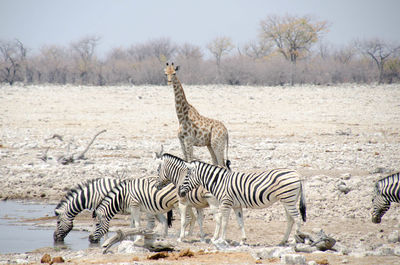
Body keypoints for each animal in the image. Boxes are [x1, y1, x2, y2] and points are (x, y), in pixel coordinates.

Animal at [177, 159, 306, 245]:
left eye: (186, 176)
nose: (179, 193)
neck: (219, 182)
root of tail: (297, 174)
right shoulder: (236, 206)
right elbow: (240, 223)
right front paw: (243, 240)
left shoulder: (226, 203)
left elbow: (224, 222)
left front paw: (221, 240)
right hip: (287, 201)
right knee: (290, 219)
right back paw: (283, 241)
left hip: (288, 200)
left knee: (297, 218)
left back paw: (294, 240)